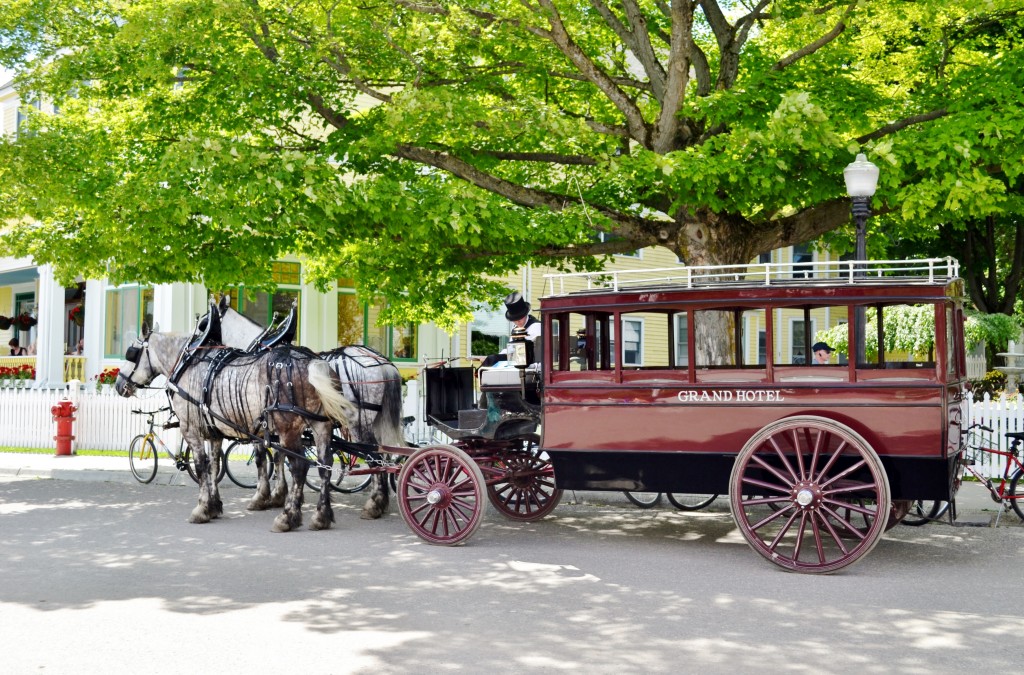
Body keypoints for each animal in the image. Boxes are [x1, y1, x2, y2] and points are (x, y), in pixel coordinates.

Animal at [114, 327, 356, 532]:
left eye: (132, 353)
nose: (118, 384)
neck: (187, 363)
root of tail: (314, 361)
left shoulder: (190, 429)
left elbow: (201, 467)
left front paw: (201, 509)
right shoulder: (213, 433)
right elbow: (214, 466)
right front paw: (214, 506)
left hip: (288, 428)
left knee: (299, 467)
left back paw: (288, 517)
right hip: (320, 425)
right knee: (325, 465)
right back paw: (322, 516)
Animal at [212, 299, 403, 520]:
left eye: (204, 323)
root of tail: (383, 362)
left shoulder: (260, 423)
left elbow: (264, 458)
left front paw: (263, 497)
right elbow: (280, 456)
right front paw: (282, 496)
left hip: (359, 423)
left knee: (375, 458)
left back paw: (374, 505)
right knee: (383, 457)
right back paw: (381, 501)